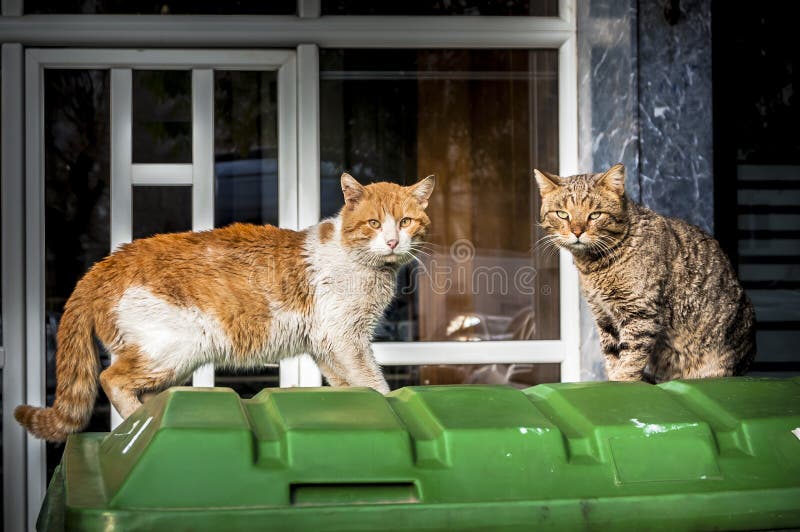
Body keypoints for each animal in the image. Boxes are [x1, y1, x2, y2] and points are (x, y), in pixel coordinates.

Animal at [14, 171, 438, 440]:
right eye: (373, 223)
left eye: (405, 221)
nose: (392, 242)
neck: (364, 264)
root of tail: (104, 264)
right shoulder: (347, 339)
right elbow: (374, 381)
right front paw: (391, 406)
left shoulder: (328, 346)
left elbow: (350, 383)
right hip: (174, 346)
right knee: (110, 378)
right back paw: (138, 421)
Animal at [536, 164, 752, 380]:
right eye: (562, 214)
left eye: (595, 215)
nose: (577, 232)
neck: (595, 266)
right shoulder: (604, 316)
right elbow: (612, 355)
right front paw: (613, 378)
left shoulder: (640, 311)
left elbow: (632, 355)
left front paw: (624, 380)